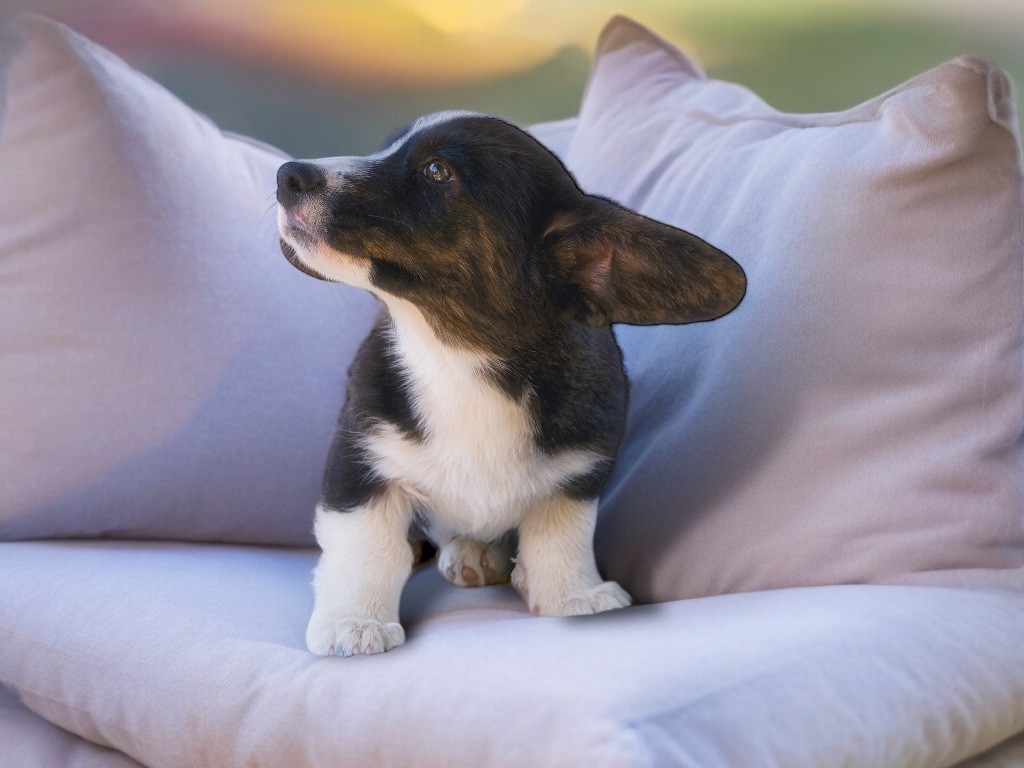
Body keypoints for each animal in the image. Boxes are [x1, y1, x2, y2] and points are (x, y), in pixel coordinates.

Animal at [276, 111, 745, 657]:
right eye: (385, 148)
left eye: (437, 171)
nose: (286, 175)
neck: (458, 357)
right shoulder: (359, 457)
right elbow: (366, 543)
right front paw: (355, 620)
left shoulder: (578, 472)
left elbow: (560, 536)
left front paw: (573, 594)